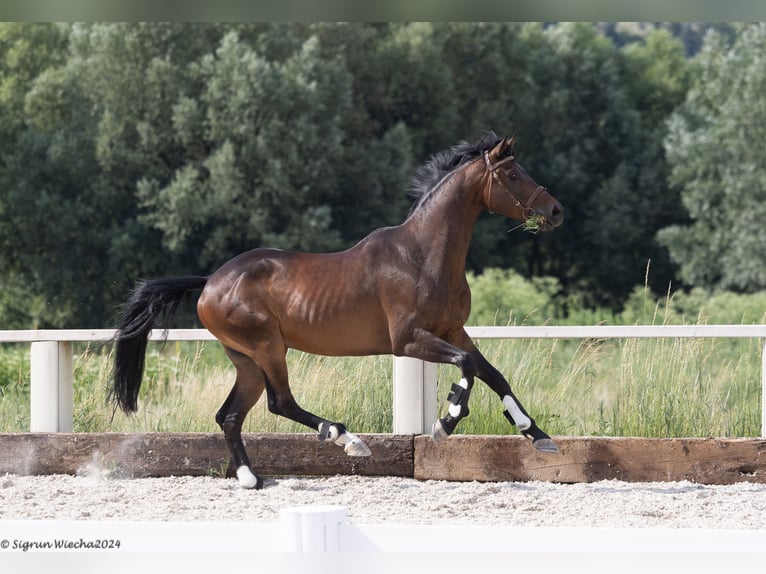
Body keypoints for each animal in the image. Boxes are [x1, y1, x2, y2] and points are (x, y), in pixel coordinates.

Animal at [112, 130, 564, 490]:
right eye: (512, 175)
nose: (556, 210)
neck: (422, 255)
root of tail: (209, 282)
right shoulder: (408, 341)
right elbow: (468, 367)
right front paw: (446, 421)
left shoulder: (453, 331)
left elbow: (493, 373)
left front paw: (537, 434)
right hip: (267, 348)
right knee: (279, 403)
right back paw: (347, 439)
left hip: (246, 359)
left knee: (230, 416)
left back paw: (251, 478)